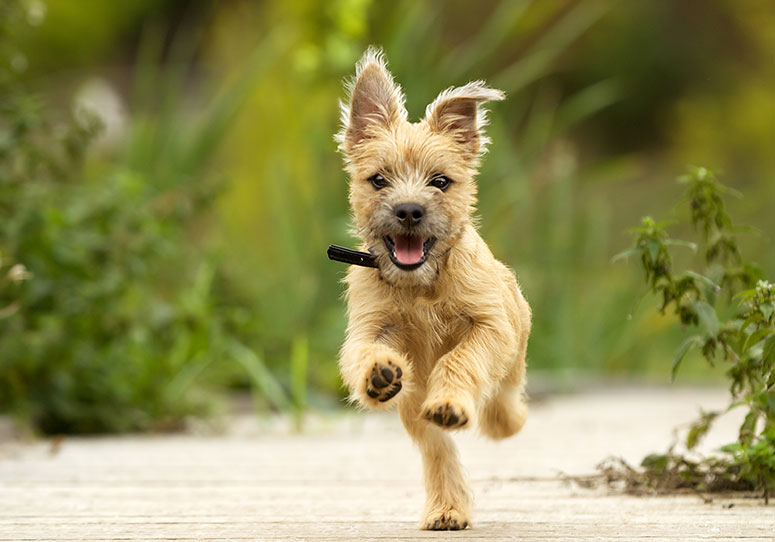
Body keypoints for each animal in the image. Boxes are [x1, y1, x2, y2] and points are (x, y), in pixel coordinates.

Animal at [330, 49, 532, 532]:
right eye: (378, 180)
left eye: (440, 181)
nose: (408, 210)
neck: (420, 286)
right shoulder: (369, 328)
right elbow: (363, 353)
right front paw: (378, 373)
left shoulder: (489, 326)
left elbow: (460, 360)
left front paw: (455, 398)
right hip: (413, 408)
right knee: (438, 449)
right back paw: (447, 508)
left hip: (513, 354)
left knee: (503, 403)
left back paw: (497, 418)